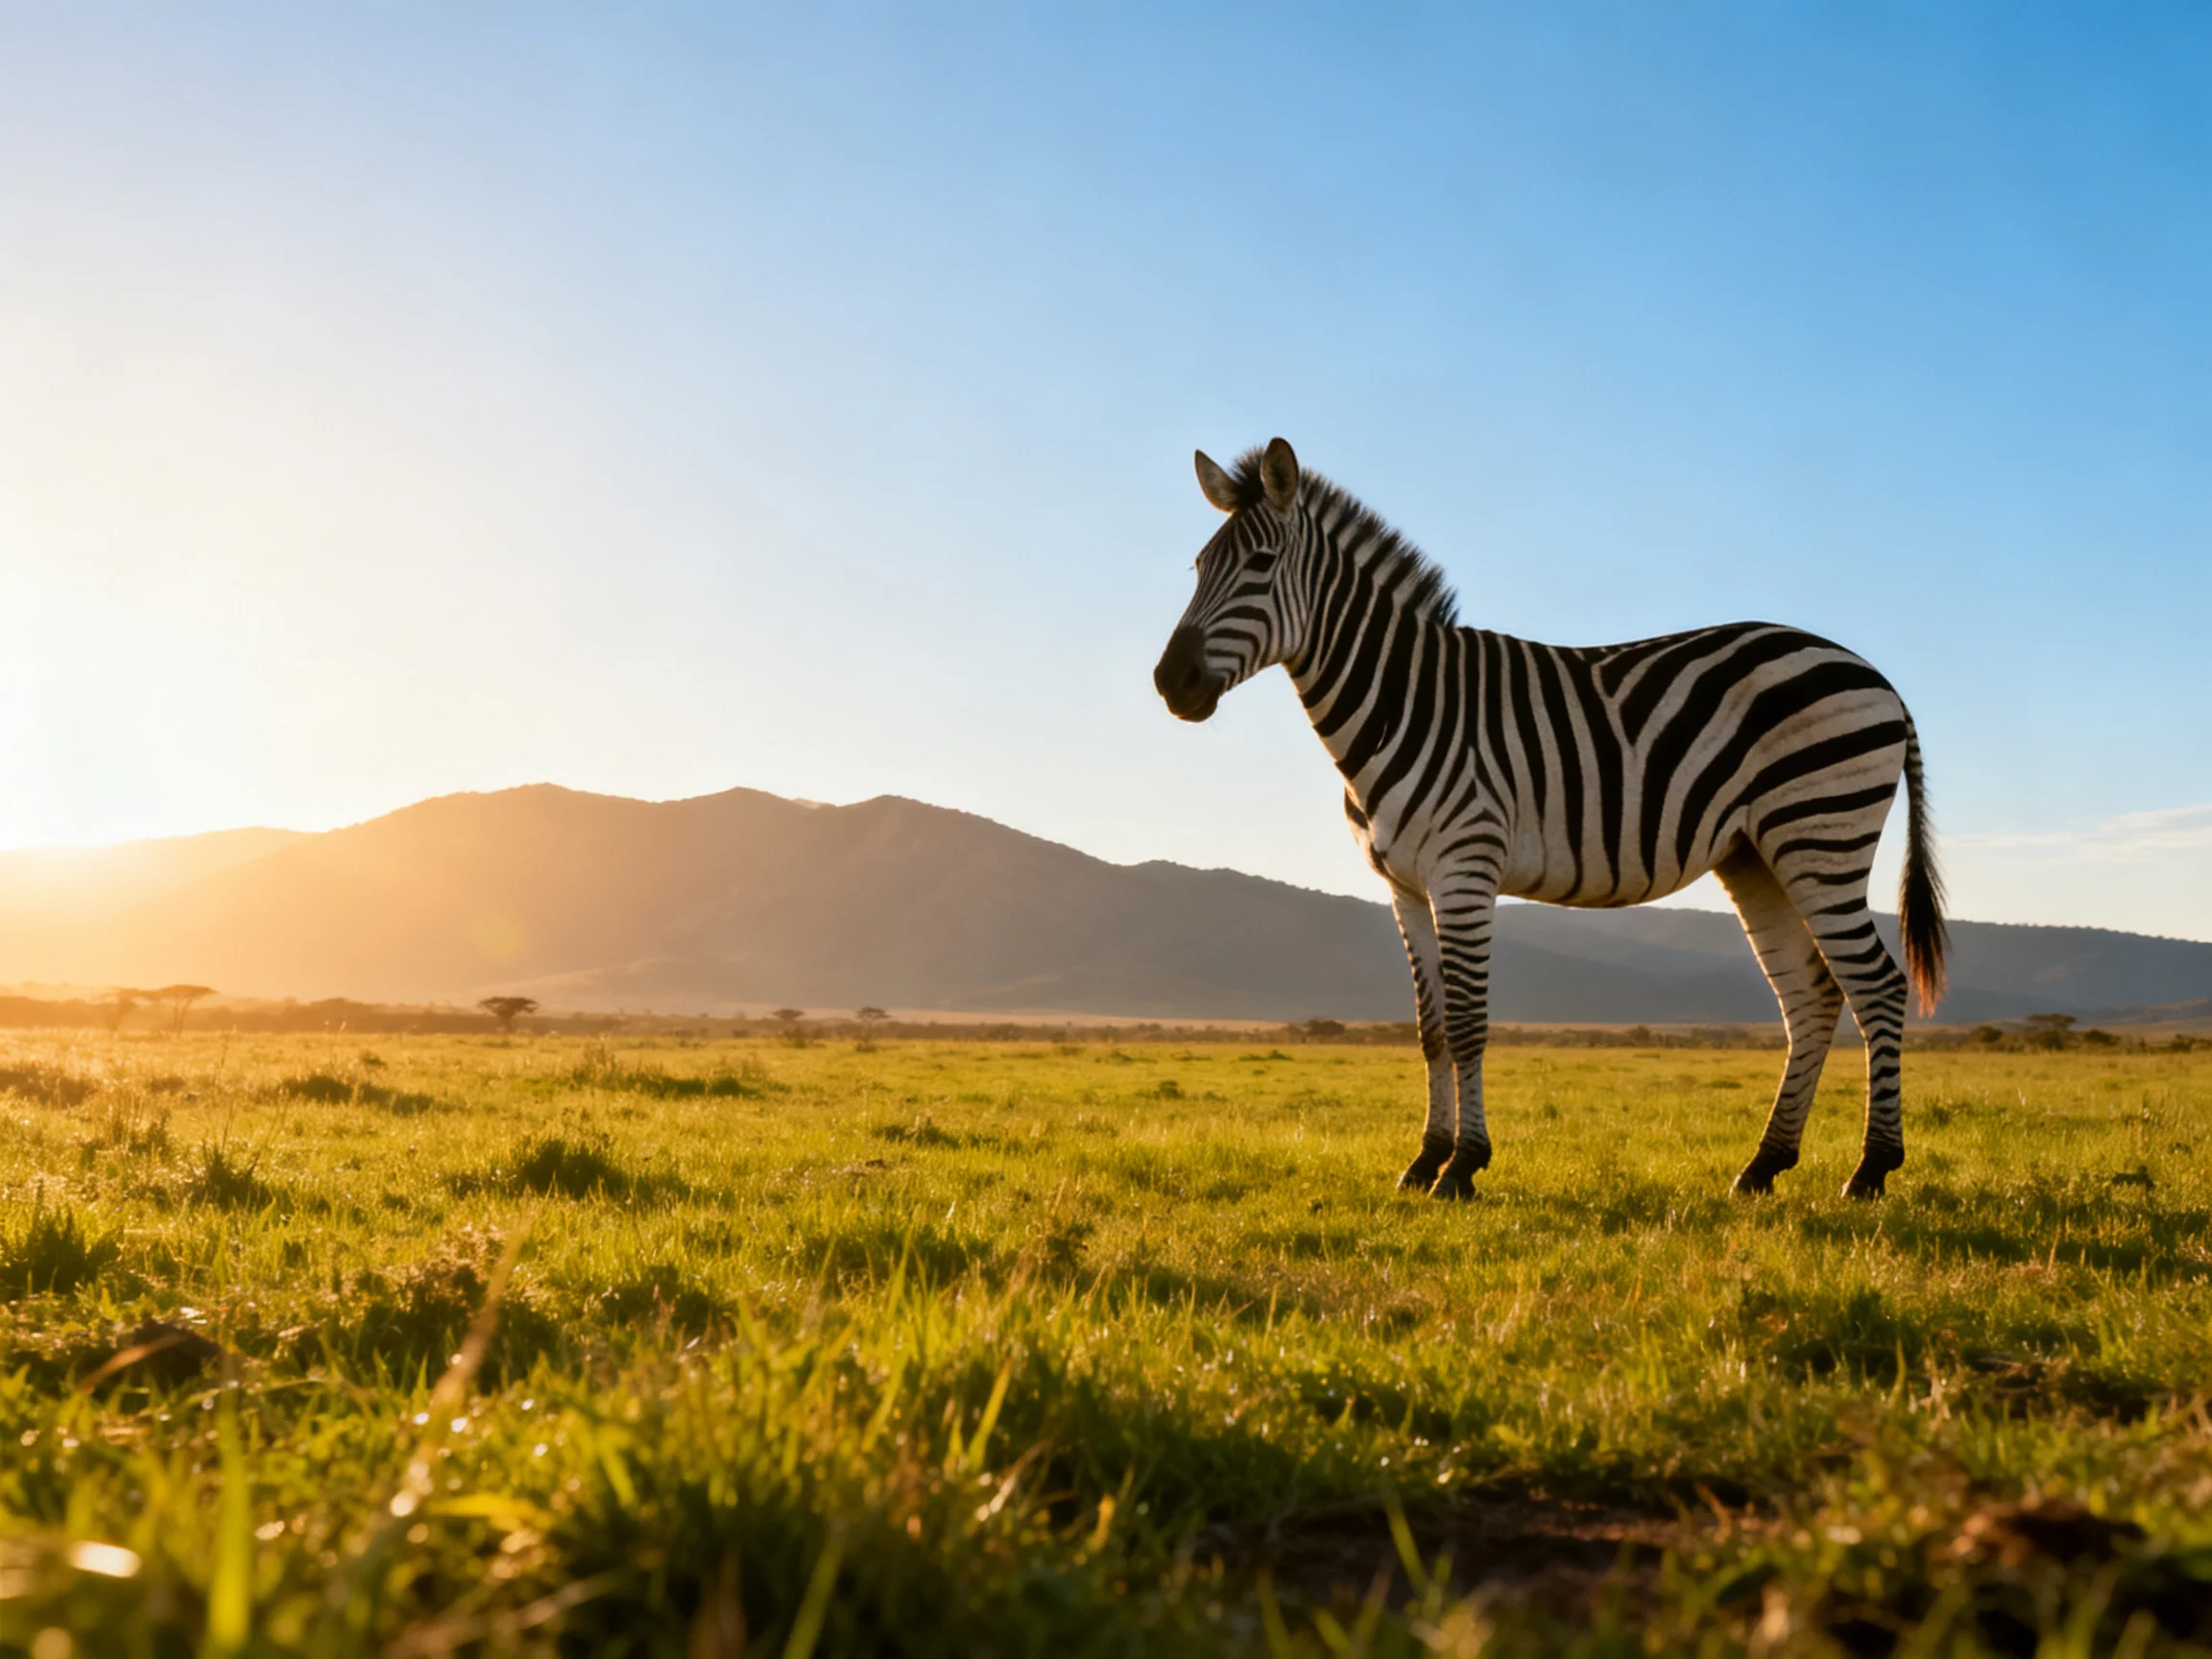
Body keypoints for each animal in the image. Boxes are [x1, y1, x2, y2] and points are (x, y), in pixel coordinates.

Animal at [1152, 438, 1946, 1201]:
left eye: (1259, 565)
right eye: (1197, 567)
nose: (1170, 682)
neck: (1401, 703)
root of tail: (1877, 677)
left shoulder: (1464, 869)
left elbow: (1467, 1024)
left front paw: (1462, 1166)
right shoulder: (1404, 886)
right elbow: (1430, 1030)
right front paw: (1424, 1159)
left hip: (1820, 834)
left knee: (1877, 986)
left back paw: (1872, 1169)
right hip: (1757, 855)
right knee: (1810, 997)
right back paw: (1762, 1167)